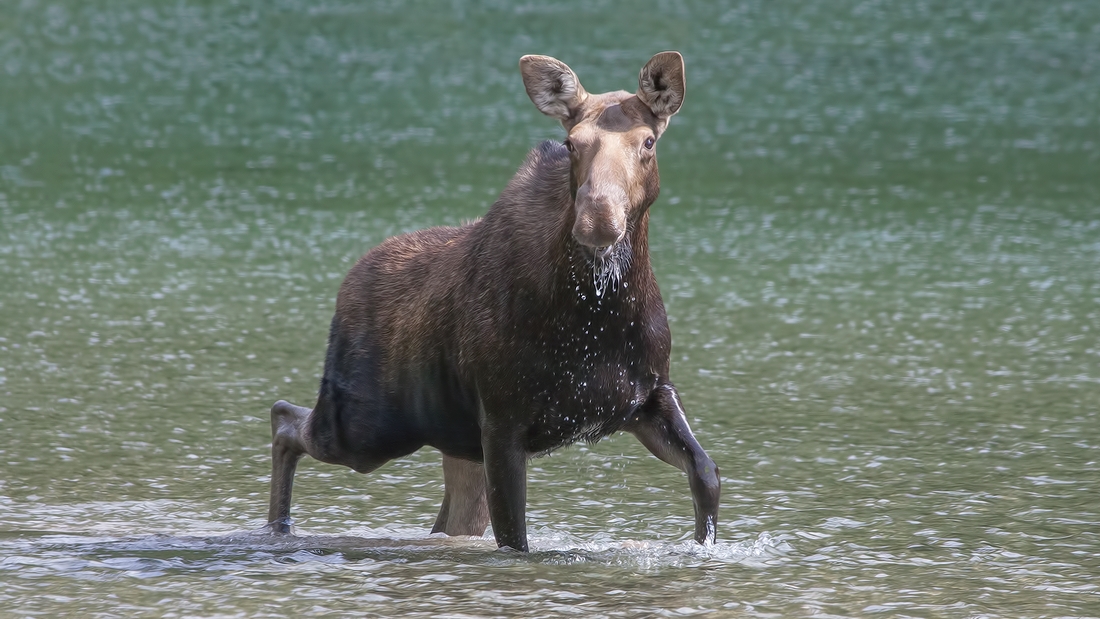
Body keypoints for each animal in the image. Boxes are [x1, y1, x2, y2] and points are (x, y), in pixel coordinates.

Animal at [268, 49, 721, 551]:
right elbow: (515, 539)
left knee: (448, 519)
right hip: (366, 428)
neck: (595, 317)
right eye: (571, 143)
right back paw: (277, 528)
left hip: (455, 442)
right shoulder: (503, 420)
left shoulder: (647, 396)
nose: (598, 221)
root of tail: (346, 284)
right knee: (284, 417)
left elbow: (706, 472)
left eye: (648, 142)